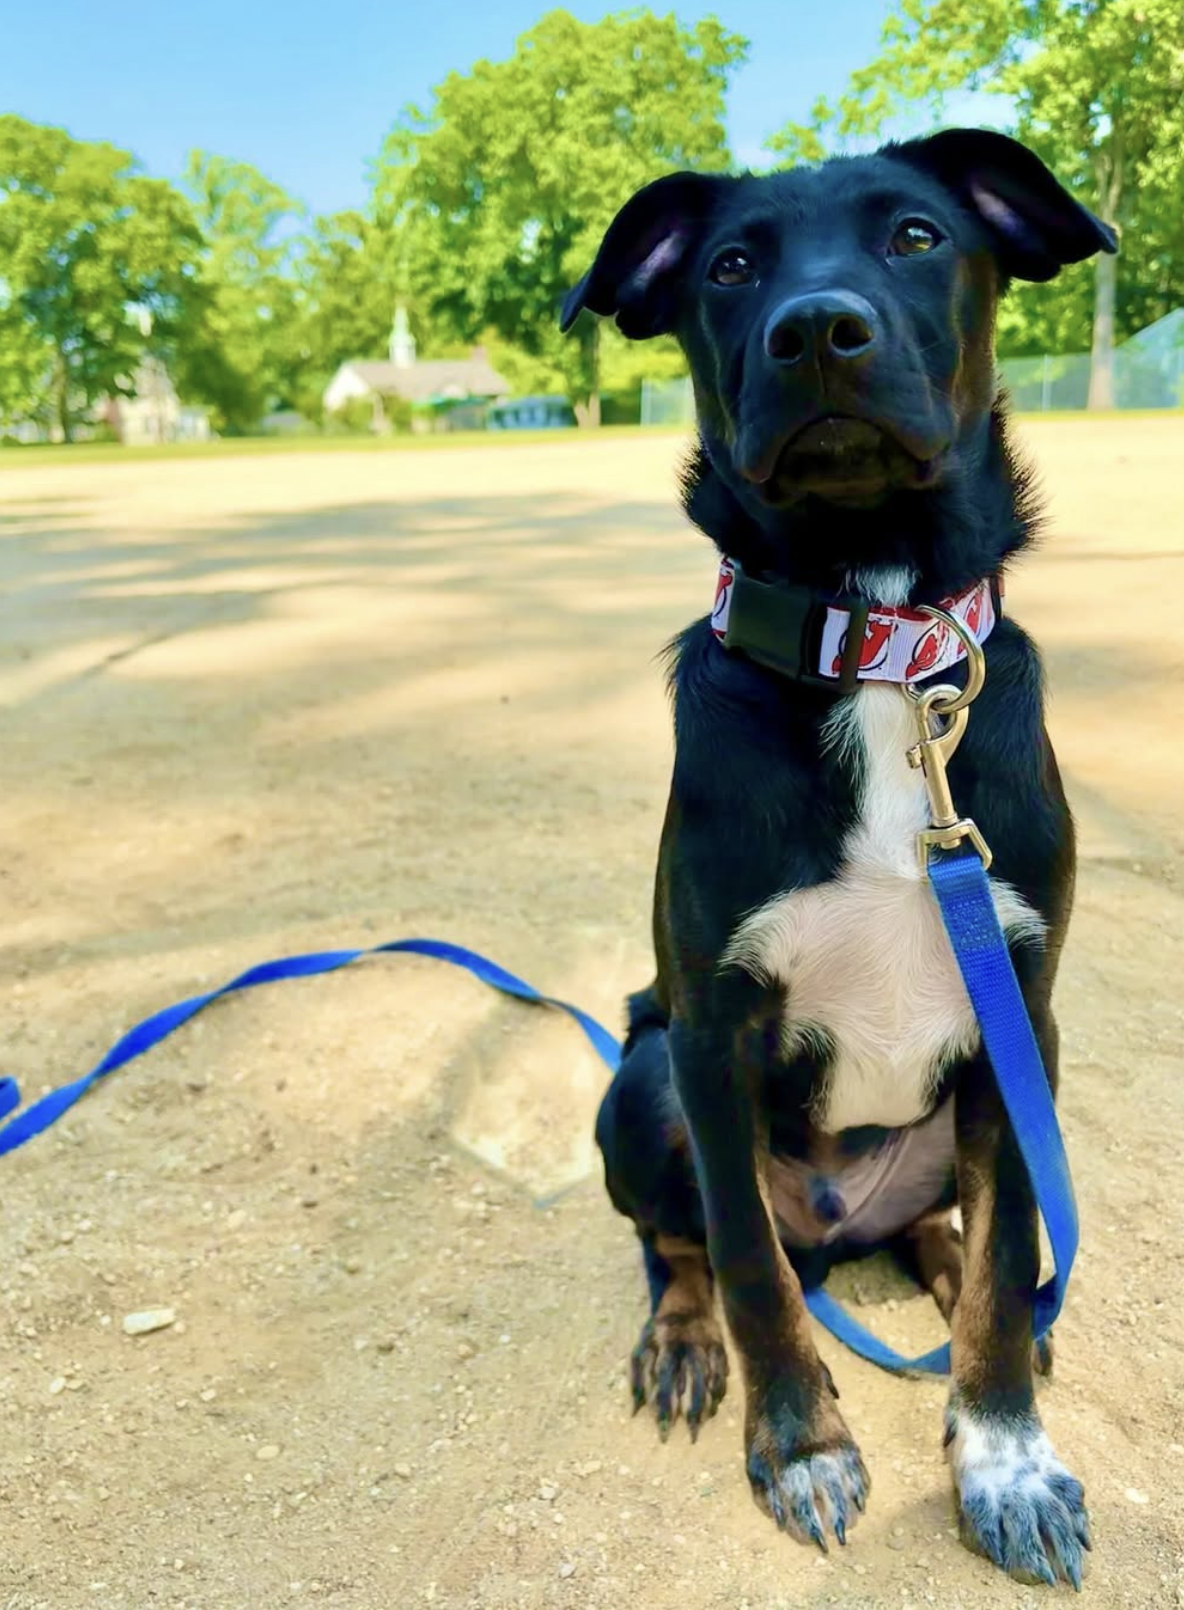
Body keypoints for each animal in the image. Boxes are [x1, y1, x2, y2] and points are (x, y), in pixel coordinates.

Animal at [561, 129, 1116, 1588]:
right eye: (729, 265)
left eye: (917, 235)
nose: (817, 329)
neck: (874, 652)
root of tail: (838, 1222)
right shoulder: (708, 1034)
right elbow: (751, 1271)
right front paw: (802, 1445)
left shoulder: (1021, 1011)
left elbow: (1007, 1255)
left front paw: (1003, 1455)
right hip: (642, 1082)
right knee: (687, 1240)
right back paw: (683, 1339)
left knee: (957, 1228)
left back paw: (960, 1274)